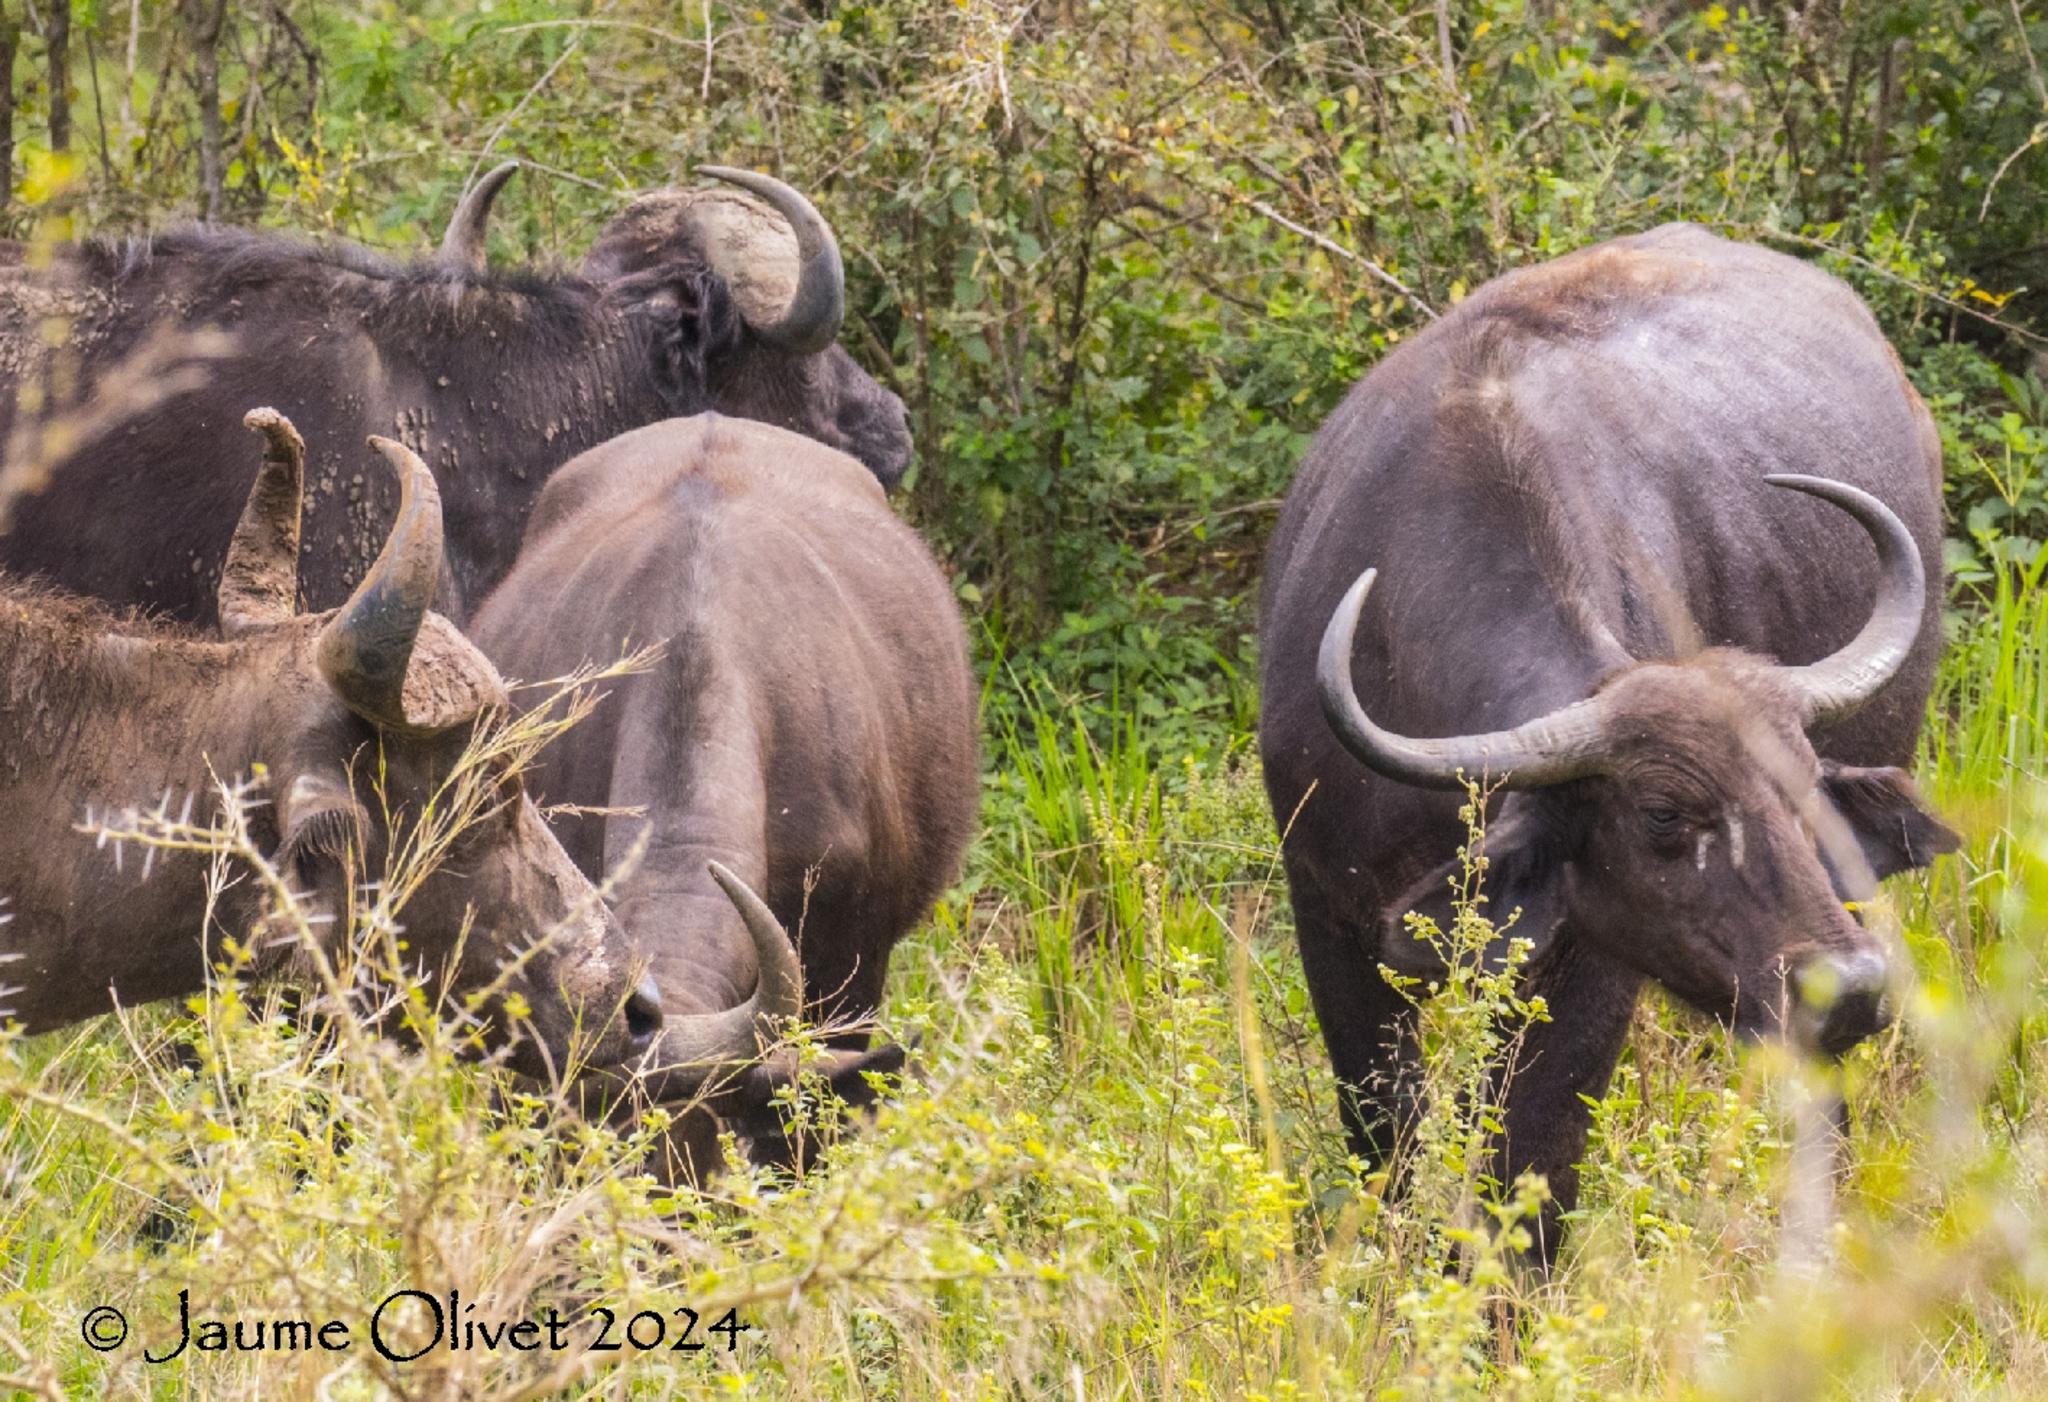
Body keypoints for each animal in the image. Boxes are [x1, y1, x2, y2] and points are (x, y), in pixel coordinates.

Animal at [1253, 221, 1957, 1260]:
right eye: (1664, 812)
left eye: (1805, 786)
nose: (1855, 988)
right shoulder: (1329, 920)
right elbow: (1387, 1142)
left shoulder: (1587, 965)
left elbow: (1531, 1170)